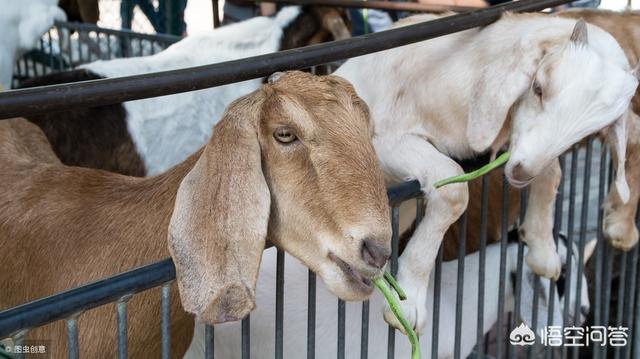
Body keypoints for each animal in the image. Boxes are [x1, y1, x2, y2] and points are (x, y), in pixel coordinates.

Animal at [332, 13, 636, 334]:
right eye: (538, 88)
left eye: (593, 130)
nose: (521, 173)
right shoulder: (382, 142)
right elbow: (453, 189)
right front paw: (408, 304)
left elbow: (552, 171)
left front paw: (543, 252)